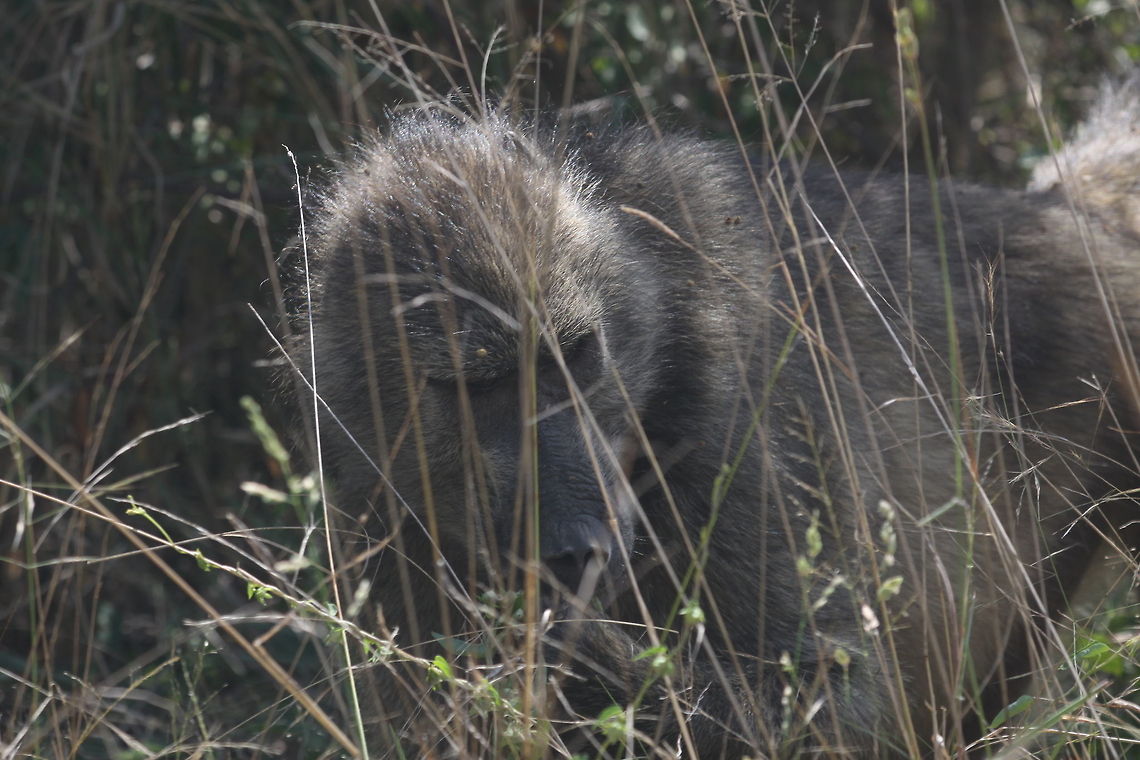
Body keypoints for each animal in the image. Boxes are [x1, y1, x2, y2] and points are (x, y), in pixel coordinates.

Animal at [289, 78, 1140, 758]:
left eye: (574, 357)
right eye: (479, 388)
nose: (581, 546)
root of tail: (1069, 215)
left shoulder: (734, 425)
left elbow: (834, 691)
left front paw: (554, 639)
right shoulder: (375, 495)